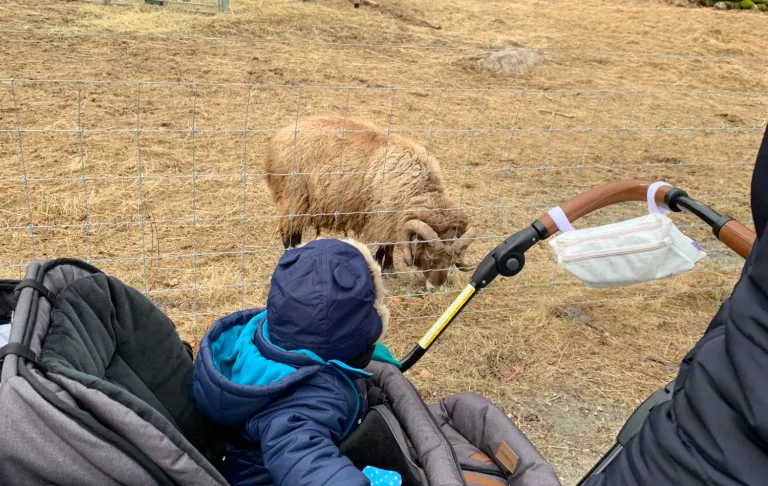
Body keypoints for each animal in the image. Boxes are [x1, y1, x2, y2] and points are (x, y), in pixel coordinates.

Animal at [263, 116, 476, 289]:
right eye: (430, 257)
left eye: (451, 261)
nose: (435, 288)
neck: (418, 188)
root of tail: (276, 141)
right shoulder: (385, 216)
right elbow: (385, 244)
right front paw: (384, 268)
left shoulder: (393, 219)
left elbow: (389, 244)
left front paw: (386, 267)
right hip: (294, 197)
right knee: (289, 234)